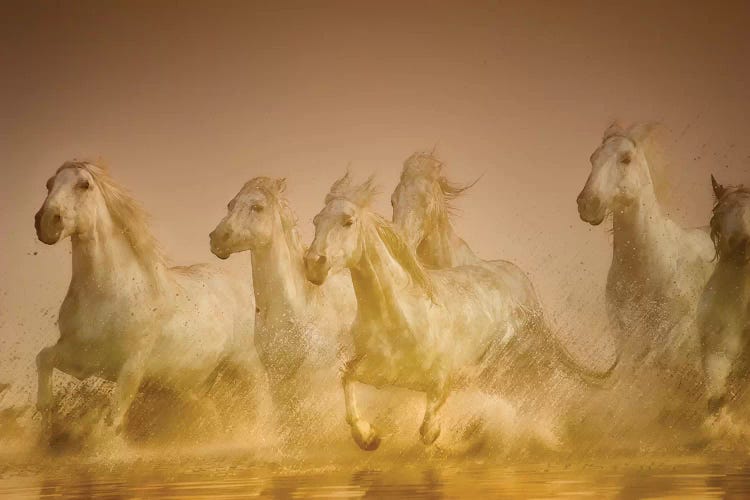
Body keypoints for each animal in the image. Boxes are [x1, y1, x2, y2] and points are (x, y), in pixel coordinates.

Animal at [33, 161, 260, 438]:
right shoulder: (82, 359)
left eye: (83, 184)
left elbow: (113, 419)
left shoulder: (131, 368)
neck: (107, 294)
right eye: (48, 184)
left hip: (246, 364)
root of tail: (244, 288)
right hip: (195, 384)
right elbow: (43, 359)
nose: (46, 222)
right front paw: (47, 426)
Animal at [304, 174, 616, 452]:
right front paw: (368, 437)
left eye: (347, 221)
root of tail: (525, 290)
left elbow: (429, 430)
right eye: (316, 221)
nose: (313, 264)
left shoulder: (443, 379)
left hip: (510, 368)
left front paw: (460, 438)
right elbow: (347, 379)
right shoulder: (377, 372)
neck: (398, 317)